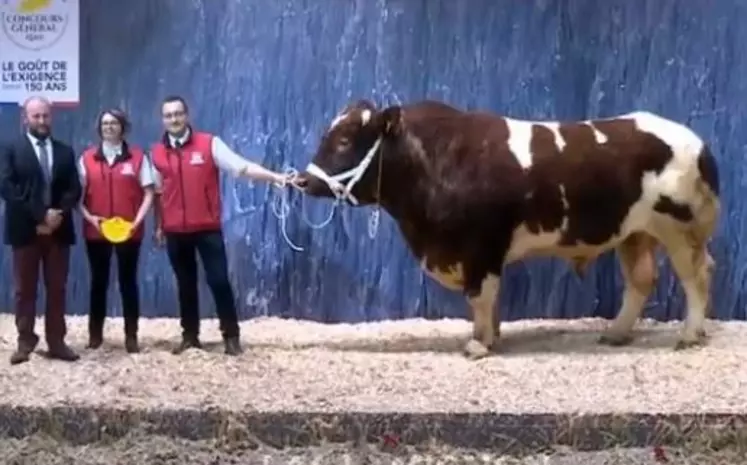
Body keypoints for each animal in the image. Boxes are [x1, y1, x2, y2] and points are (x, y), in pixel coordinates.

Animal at [296, 99, 720, 358]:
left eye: (345, 140)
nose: (303, 180)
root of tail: (695, 142)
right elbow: (490, 299)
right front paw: (491, 337)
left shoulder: (481, 247)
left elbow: (481, 296)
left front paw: (479, 345)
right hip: (635, 233)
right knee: (641, 280)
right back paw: (615, 333)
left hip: (680, 229)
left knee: (696, 277)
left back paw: (688, 335)